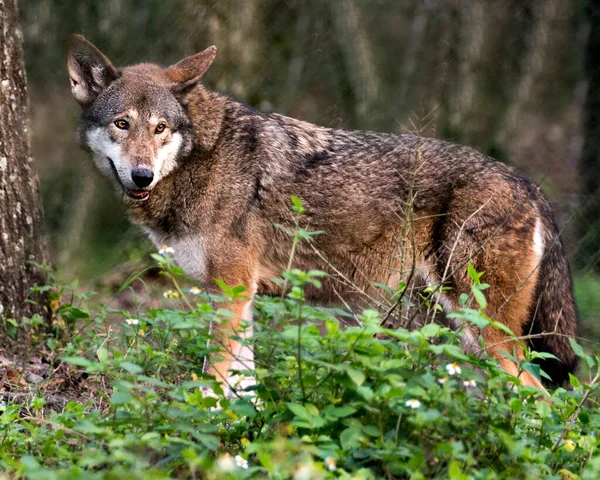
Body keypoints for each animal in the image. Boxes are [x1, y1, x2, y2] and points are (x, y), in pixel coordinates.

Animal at [68, 32, 580, 394]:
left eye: (160, 128)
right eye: (122, 124)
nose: (141, 176)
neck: (201, 157)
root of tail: (529, 184)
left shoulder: (230, 291)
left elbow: (214, 379)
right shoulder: (242, 296)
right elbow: (245, 387)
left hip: (482, 331)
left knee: (540, 397)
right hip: (462, 337)